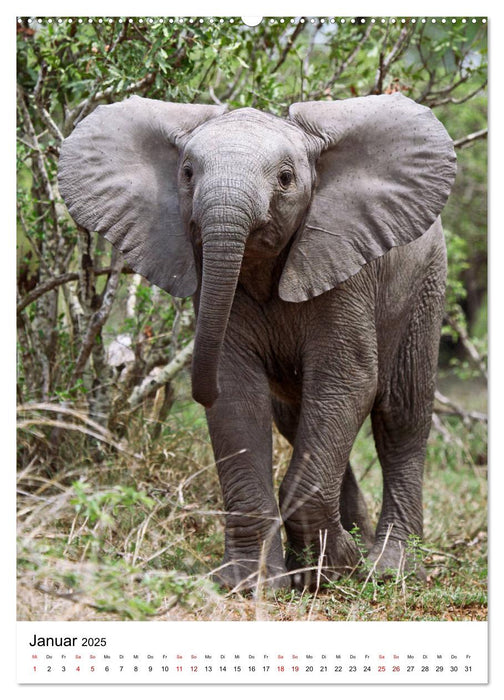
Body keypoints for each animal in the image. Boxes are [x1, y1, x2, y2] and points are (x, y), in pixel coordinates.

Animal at [59, 93, 456, 592]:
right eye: (186, 172)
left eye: (286, 179)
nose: (195, 388)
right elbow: (237, 393)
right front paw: (254, 583)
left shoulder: (346, 271)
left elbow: (348, 382)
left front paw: (332, 570)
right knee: (295, 418)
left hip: (426, 283)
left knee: (401, 417)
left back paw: (389, 566)